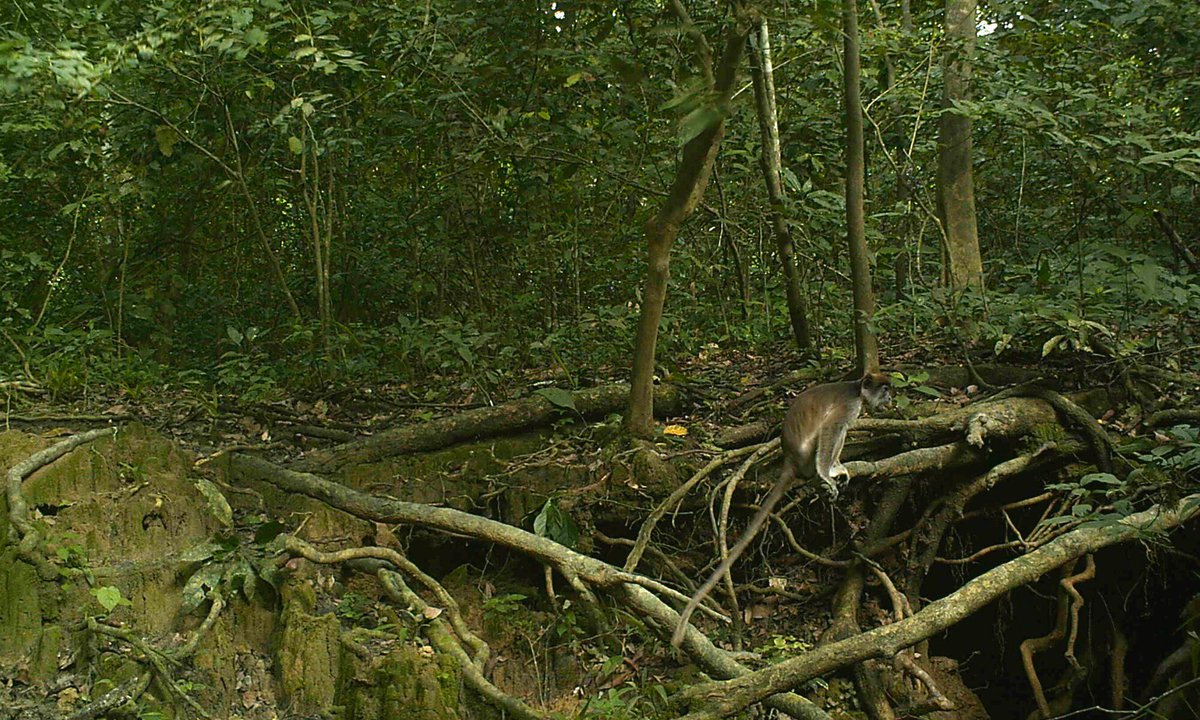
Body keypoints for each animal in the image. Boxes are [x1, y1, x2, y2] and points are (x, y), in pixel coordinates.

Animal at [670, 372, 892, 647]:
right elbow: (830, 431)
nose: (890, 398)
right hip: (808, 455)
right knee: (833, 435)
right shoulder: (848, 407)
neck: (855, 390)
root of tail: (790, 460)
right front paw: (827, 475)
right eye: (884, 390)